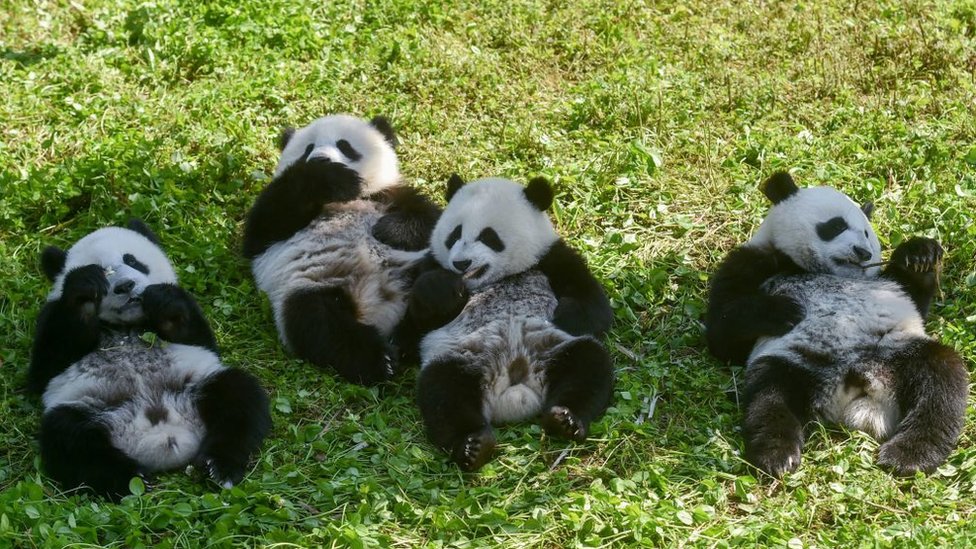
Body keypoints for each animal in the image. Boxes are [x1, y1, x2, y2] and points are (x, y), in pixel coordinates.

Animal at [27, 220, 271, 498]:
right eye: (104, 271)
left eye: (132, 260)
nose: (126, 286)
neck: (126, 326)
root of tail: (164, 436)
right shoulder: (51, 318)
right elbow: (46, 367)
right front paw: (85, 291)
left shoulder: (191, 324)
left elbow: (200, 338)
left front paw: (163, 303)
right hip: (91, 408)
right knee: (70, 439)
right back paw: (131, 477)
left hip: (197, 385)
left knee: (238, 396)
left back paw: (218, 466)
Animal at [242, 114, 441, 385]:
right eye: (308, 149)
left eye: (345, 145)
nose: (320, 158)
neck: (344, 200)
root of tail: (382, 311)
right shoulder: (269, 233)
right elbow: (264, 224)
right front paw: (328, 176)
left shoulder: (390, 194)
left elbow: (431, 219)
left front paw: (387, 231)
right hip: (310, 286)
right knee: (319, 323)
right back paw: (382, 359)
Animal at [402, 174, 615, 471]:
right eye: (454, 234)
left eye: (488, 236)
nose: (461, 263)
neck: (496, 279)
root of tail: (515, 388)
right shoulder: (430, 266)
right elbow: (415, 327)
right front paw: (441, 289)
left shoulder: (550, 258)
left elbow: (594, 307)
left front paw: (562, 315)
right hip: (464, 357)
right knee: (443, 391)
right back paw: (473, 445)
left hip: (553, 348)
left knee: (588, 365)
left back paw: (566, 420)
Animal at [706, 171, 969, 477]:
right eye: (836, 225)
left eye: (866, 232)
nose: (863, 252)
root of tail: (855, 385)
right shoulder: (754, 260)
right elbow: (723, 333)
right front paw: (786, 310)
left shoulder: (886, 287)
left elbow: (913, 295)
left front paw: (920, 256)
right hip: (798, 361)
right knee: (769, 397)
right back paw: (777, 454)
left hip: (897, 351)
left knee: (941, 384)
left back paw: (908, 455)